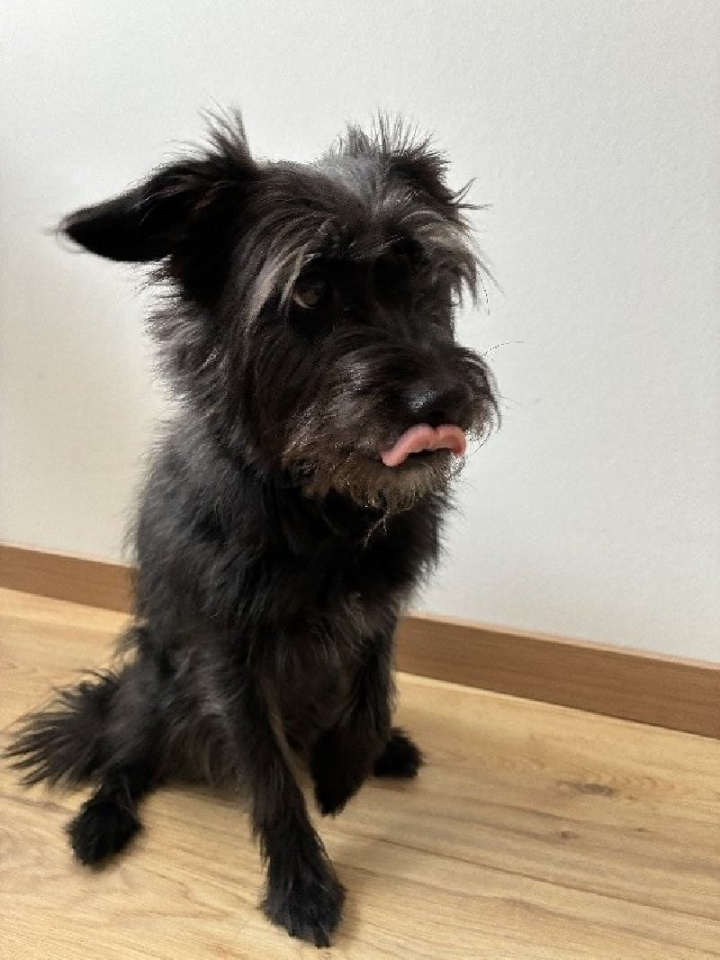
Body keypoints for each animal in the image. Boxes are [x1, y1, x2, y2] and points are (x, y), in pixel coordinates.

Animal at [7, 112, 497, 947]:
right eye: (310, 288)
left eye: (422, 272)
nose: (442, 401)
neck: (321, 508)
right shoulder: (229, 659)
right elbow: (269, 779)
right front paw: (302, 883)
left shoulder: (382, 603)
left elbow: (374, 684)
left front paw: (347, 766)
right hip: (157, 685)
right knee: (125, 755)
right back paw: (100, 823)